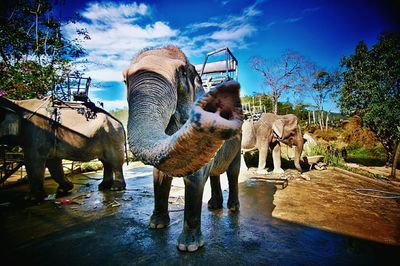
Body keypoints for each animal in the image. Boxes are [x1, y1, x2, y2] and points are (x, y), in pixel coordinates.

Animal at [123, 45, 242, 251]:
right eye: (124, 79)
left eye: (182, 72)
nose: (230, 89)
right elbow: (159, 175)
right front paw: (156, 225)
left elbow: (195, 177)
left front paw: (189, 247)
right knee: (215, 174)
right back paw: (214, 206)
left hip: (240, 142)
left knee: (233, 172)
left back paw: (233, 208)